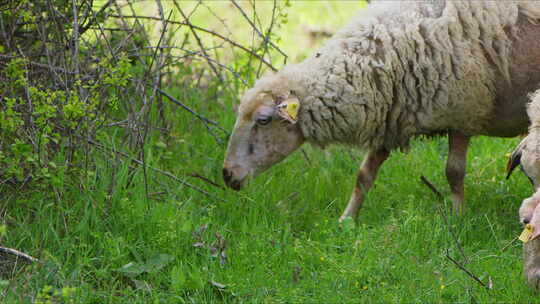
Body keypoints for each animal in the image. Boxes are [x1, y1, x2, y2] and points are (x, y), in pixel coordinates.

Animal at [223, 1, 540, 222]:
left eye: (263, 120)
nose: (227, 175)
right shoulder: (391, 117)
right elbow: (363, 176)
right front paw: (346, 220)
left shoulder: (464, 112)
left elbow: (453, 172)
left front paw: (457, 216)